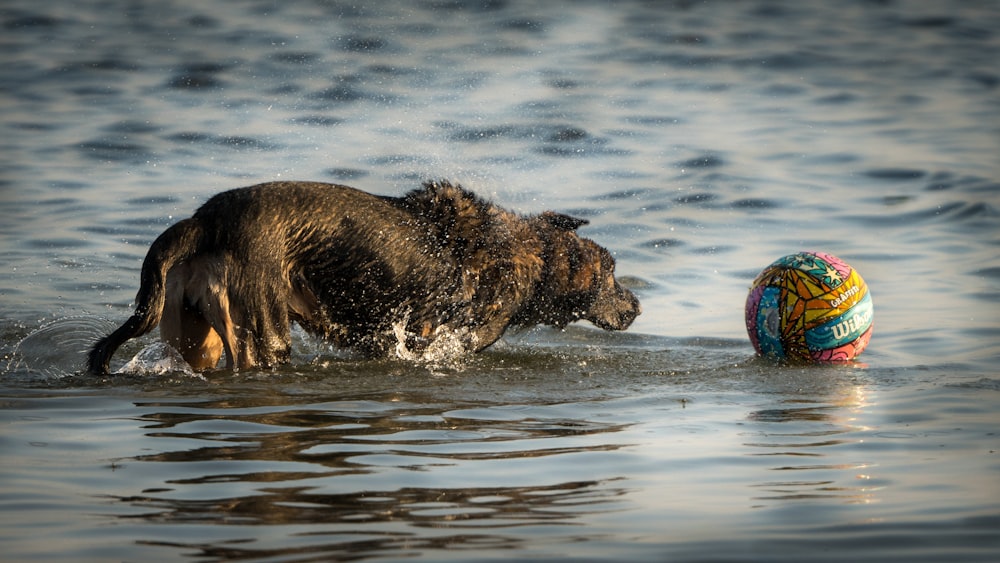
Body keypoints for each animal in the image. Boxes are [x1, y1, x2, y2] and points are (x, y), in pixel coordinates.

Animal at [88, 182, 640, 374]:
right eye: (611, 273)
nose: (636, 306)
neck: (527, 258)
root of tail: (205, 219)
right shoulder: (436, 339)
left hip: (194, 328)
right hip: (261, 328)